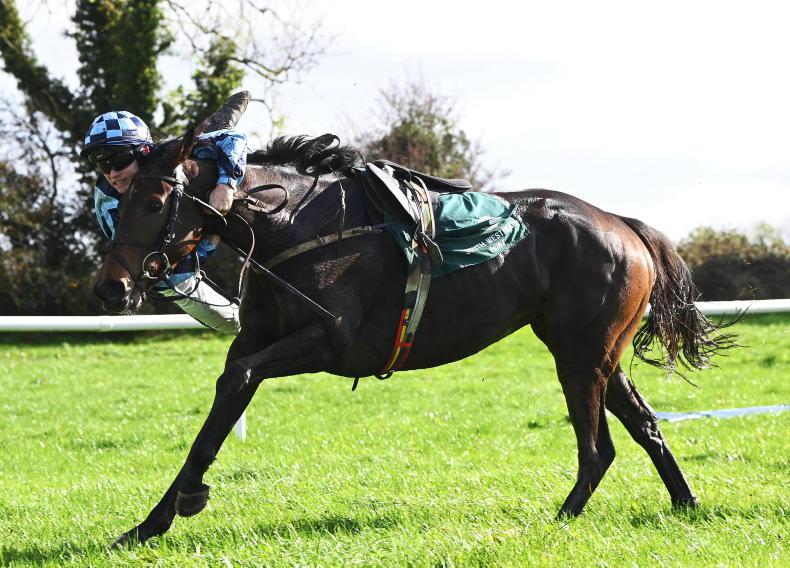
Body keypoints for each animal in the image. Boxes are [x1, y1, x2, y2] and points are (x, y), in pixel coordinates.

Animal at [93, 123, 734, 546]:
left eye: (155, 200)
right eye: (120, 198)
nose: (111, 288)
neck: (290, 223)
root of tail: (622, 223)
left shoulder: (332, 342)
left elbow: (237, 378)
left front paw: (187, 500)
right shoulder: (258, 339)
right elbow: (222, 405)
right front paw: (150, 522)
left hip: (580, 357)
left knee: (599, 447)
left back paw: (561, 518)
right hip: (595, 352)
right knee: (646, 426)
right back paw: (686, 505)